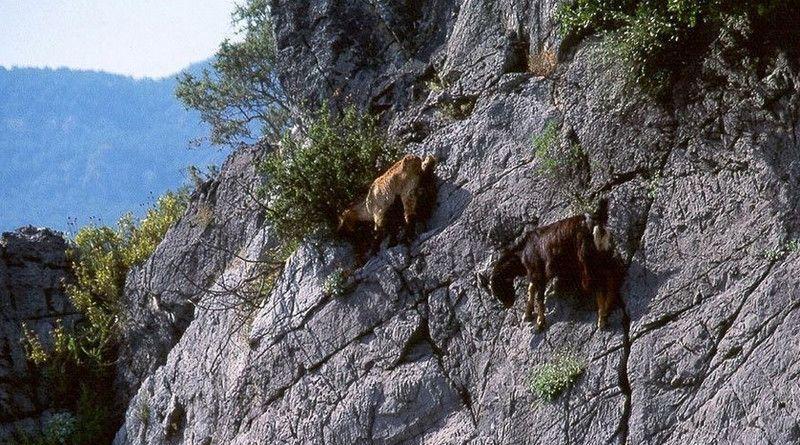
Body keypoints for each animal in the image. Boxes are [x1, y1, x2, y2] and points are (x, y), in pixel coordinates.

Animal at [488, 198, 624, 330]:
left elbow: (538, 296)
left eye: (498, 286)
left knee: (599, 283)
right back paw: (607, 309)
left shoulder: (538, 272)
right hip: (603, 254)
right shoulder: (535, 273)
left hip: (587, 260)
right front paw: (527, 315)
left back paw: (602, 319)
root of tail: (596, 222)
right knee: (613, 274)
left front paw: (539, 323)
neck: (523, 251)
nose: (508, 304)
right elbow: (531, 289)